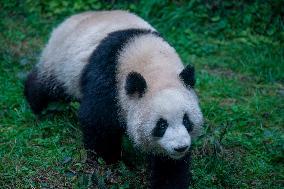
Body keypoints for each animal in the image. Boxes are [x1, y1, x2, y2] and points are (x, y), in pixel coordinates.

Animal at [23, 10, 202, 189]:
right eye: (161, 125)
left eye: (186, 120)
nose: (180, 147)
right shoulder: (109, 78)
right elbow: (98, 122)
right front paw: (111, 161)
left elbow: (168, 163)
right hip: (61, 63)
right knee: (47, 86)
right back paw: (37, 106)